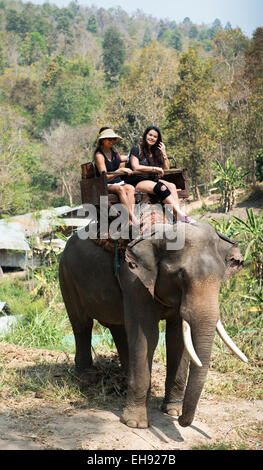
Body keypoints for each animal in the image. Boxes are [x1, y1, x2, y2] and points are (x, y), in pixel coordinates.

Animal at [59, 218, 248, 428]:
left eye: (221, 277)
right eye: (180, 275)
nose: (181, 421)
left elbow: (177, 338)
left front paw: (173, 410)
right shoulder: (134, 280)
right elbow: (147, 335)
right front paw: (135, 423)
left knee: (119, 328)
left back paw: (124, 379)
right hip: (66, 276)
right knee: (82, 324)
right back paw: (87, 377)